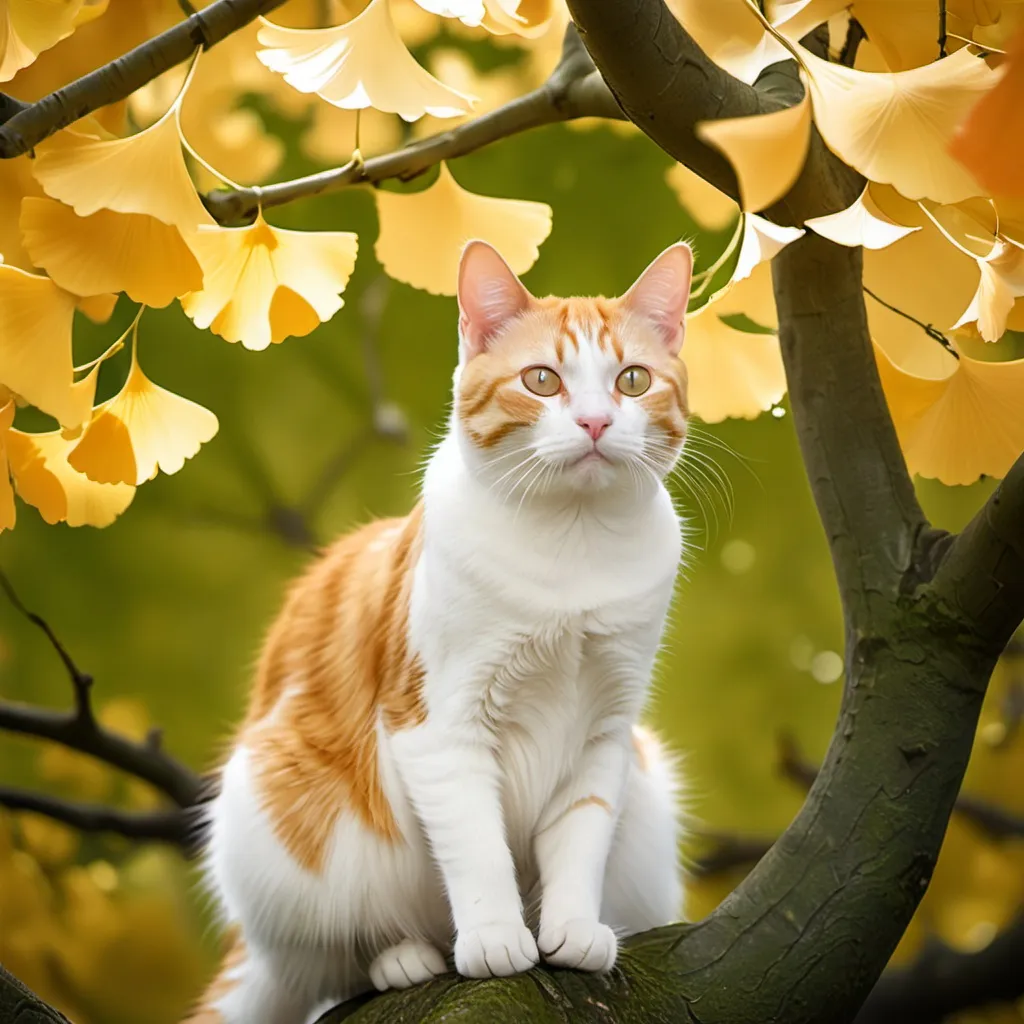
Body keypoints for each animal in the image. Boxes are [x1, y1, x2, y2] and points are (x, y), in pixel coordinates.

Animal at [187, 239, 692, 1024]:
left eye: (632, 381)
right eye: (542, 380)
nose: (595, 423)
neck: (573, 547)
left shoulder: (606, 735)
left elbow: (579, 840)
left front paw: (572, 929)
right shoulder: (437, 726)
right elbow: (477, 846)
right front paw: (494, 938)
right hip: (275, 815)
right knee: (341, 954)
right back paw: (404, 957)